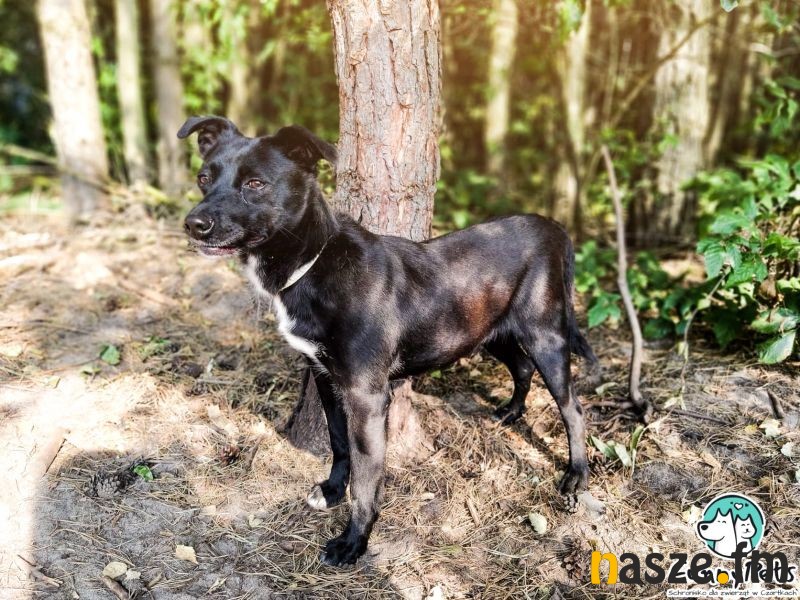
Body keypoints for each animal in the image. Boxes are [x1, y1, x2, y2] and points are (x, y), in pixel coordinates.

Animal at [178, 115, 597, 566]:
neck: (314, 263)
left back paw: (576, 475)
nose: (194, 224)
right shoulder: (325, 376)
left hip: (545, 335)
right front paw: (332, 491)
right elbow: (339, 443)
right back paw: (511, 413)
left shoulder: (366, 394)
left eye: (255, 184)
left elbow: (366, 478)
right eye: (204, 178)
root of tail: (553, 227)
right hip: (488, 329)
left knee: (573, 408)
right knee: (521, 367)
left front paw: (353, 541)